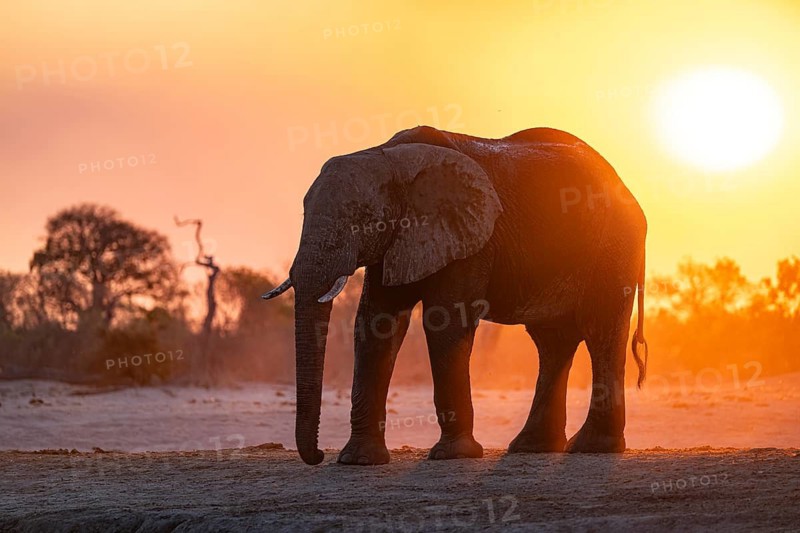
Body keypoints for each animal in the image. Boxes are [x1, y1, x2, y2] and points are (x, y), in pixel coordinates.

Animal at [262, 125, 648, 465]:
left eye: (364, 219)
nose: (316, 456)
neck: (389, 158)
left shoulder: (469, 238)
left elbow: (444, 324)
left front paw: (452, 455)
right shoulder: (397, 241)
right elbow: (376, 325)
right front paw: (357, 461)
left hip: (613, 248)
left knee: (600, 331)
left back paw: (592, 448)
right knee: (552, 342)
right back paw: (531, 447)